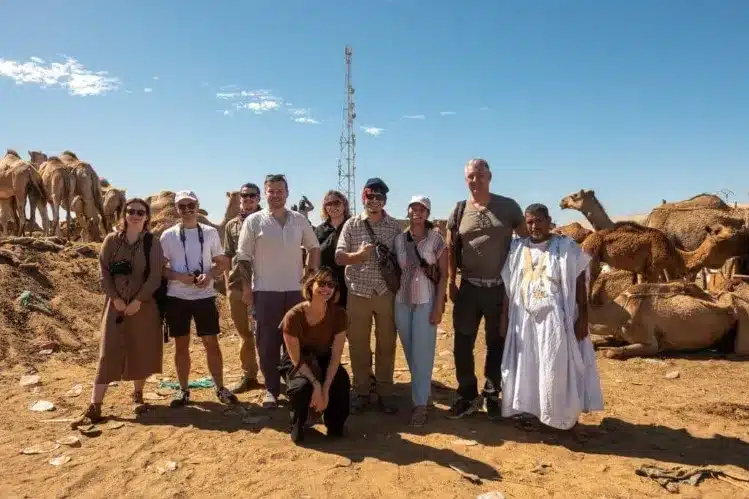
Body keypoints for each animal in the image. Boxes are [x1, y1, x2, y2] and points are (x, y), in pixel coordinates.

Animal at [580, 223, 740, 286]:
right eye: (718, 232)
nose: (733, 231)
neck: (675, 255)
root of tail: (584, 243)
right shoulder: (653, 269)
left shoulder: (643, 271)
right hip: (591, 254)